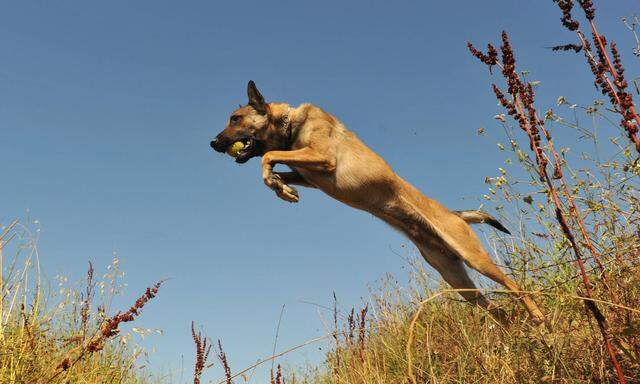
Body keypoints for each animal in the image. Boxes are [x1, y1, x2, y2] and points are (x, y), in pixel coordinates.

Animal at [211, 80, 544, 324]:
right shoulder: (309, 174)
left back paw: (539, 317)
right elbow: (273, 165)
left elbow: (267, 156)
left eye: (236, 119)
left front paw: (279, 186)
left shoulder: (322, 158)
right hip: (456, 279)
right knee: (496, 310)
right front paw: (280, 187)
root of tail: (455, 214)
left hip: (474, 258)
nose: (213, 143)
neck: (290, 124)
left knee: (516, 288)